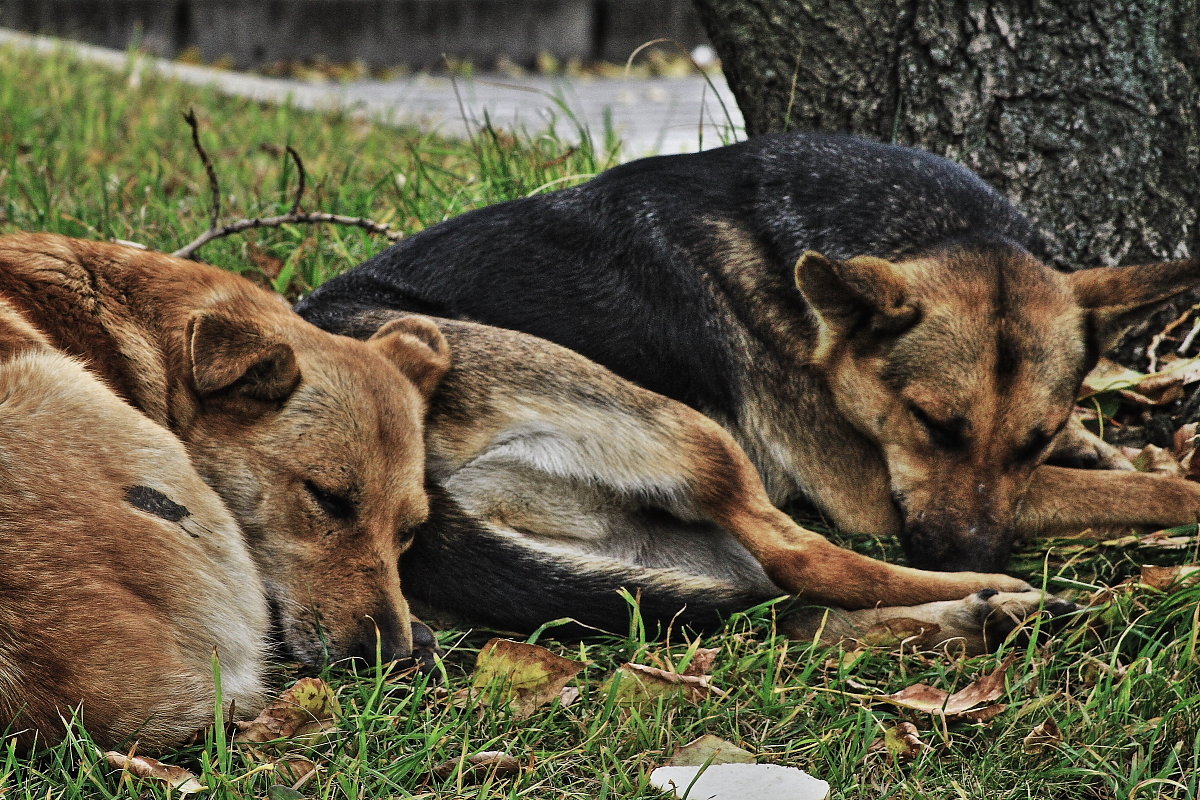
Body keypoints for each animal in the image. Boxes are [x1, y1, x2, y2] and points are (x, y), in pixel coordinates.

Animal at [297, 134, 1200, 633]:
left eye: (1034, 439)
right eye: (930, 424)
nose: (964, 550)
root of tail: (420, 498)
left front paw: (1100, 448)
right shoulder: (874, 492)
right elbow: (1151, 491)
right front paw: (1165, 484)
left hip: (654, 546)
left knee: (769, 601)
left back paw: (979, 611)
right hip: (682, 429)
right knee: (811, 561)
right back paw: (994, 592)